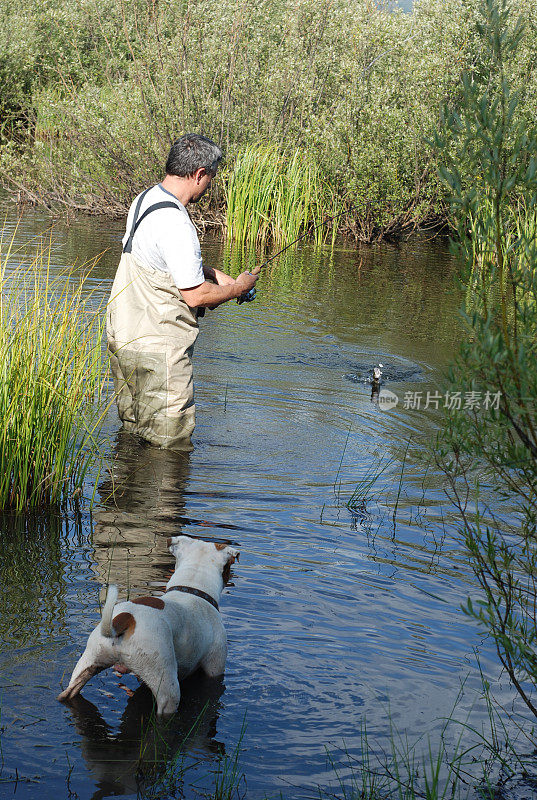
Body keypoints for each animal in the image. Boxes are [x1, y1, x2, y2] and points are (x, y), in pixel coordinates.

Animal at [57, 536, 239, 712]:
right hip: (166, 684)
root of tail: (124, 620)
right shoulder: (214, 669)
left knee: (69, 691)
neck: (192, 588)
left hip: (88, 663)